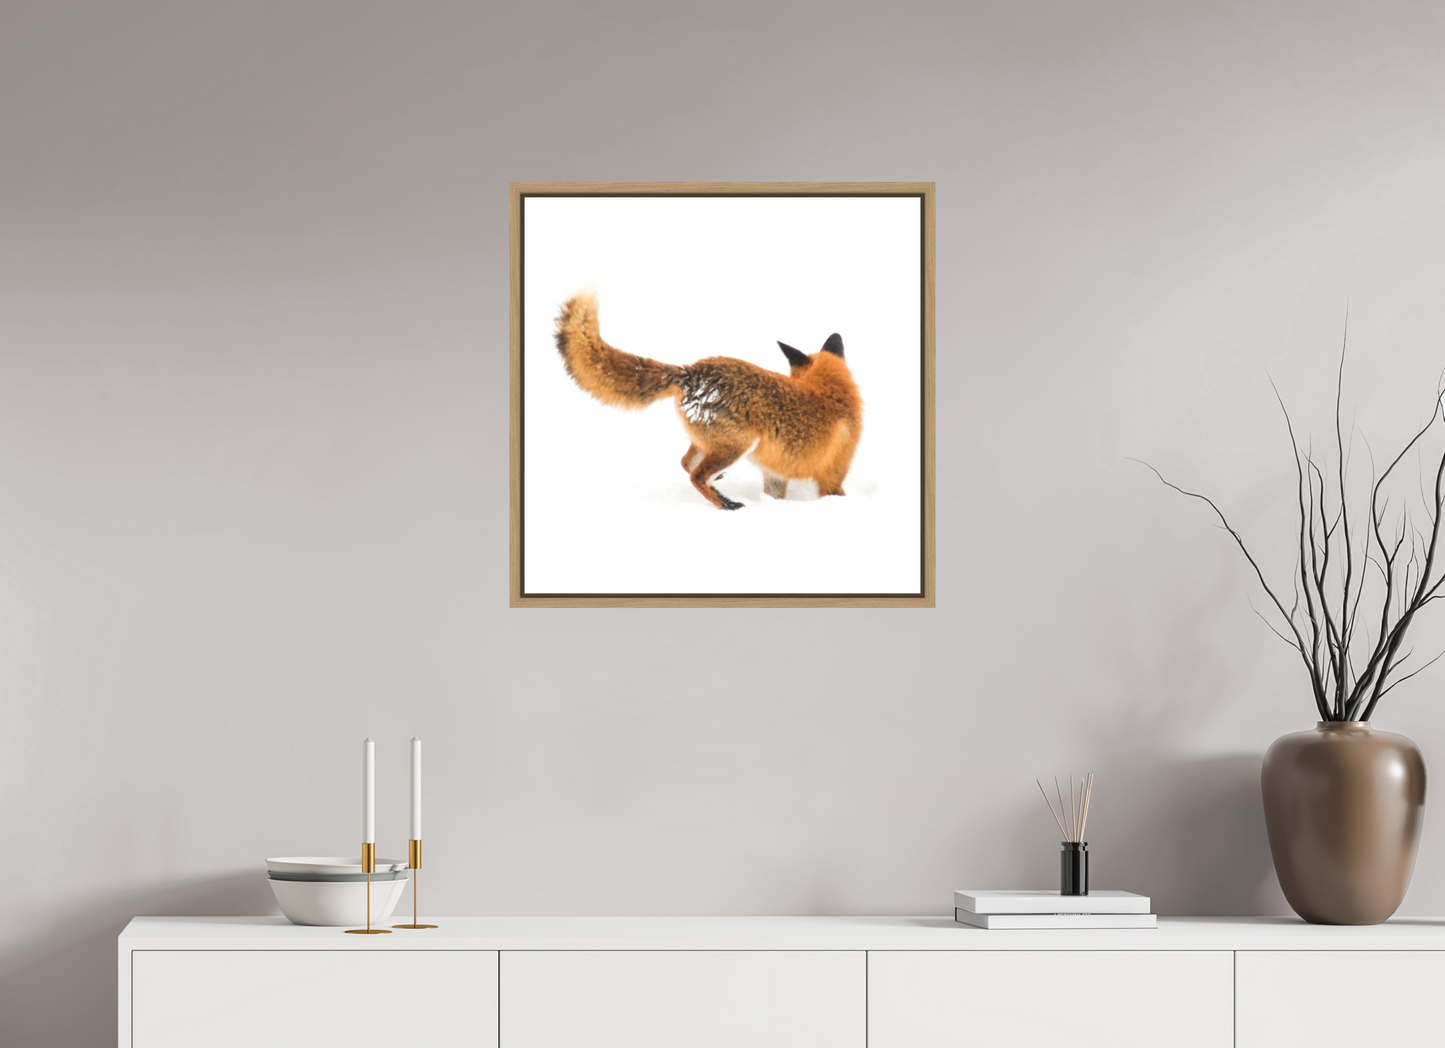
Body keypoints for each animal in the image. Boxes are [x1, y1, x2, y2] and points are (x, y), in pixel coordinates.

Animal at [554, 292, 863, 510]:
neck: (829, 390)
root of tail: (691, 372)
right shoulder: (832, 475)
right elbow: (835, 493)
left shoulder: (775, 475)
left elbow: (774, 496)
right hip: (737, 445)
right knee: (696, 476)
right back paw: (728, 505)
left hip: (709, 443)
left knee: (685, 463)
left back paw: (719, 487)